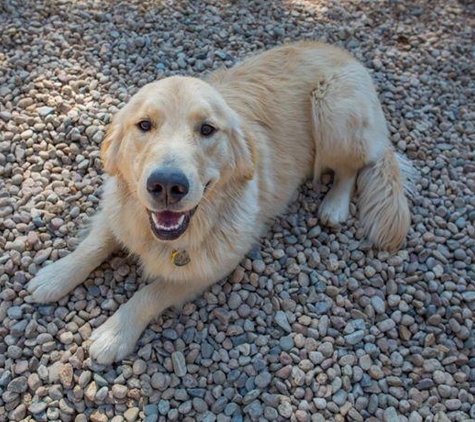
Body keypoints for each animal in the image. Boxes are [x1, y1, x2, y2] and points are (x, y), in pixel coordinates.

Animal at [26, 43, 414, 366]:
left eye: (207, 129)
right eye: (144, 125)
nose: (167, 185)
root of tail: (346, 55)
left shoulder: (210, 266)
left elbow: (152, 292)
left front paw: (114, 333)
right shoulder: (121, 209)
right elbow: (94, 244)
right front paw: (54, 276)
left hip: (333, 111)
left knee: (351, 168)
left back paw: (334, 205)